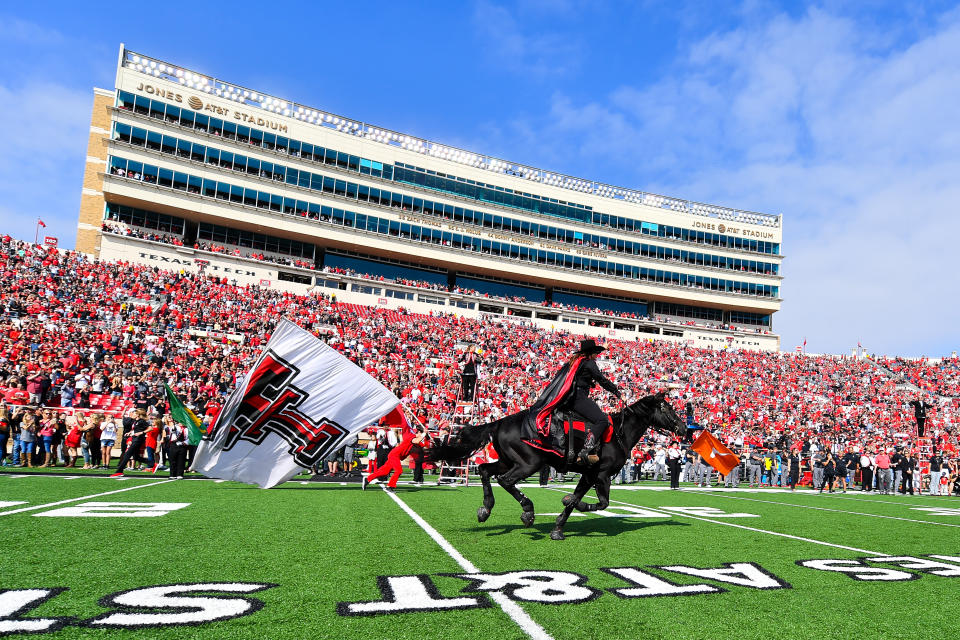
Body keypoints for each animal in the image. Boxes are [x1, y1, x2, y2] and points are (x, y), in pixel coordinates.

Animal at [430, 392, 688, 536]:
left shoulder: (588, 475)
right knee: (505, 481)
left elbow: (575, 500)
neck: (618, 433)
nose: (684, 428)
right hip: (529, 463)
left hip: (508, 461)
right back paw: (527, 511)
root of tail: (501, 422)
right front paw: (568, 509)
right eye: (667, 408)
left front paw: (558, 527)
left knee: (485, 471)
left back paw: (485, 509)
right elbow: (599, 503)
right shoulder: (601, 475)